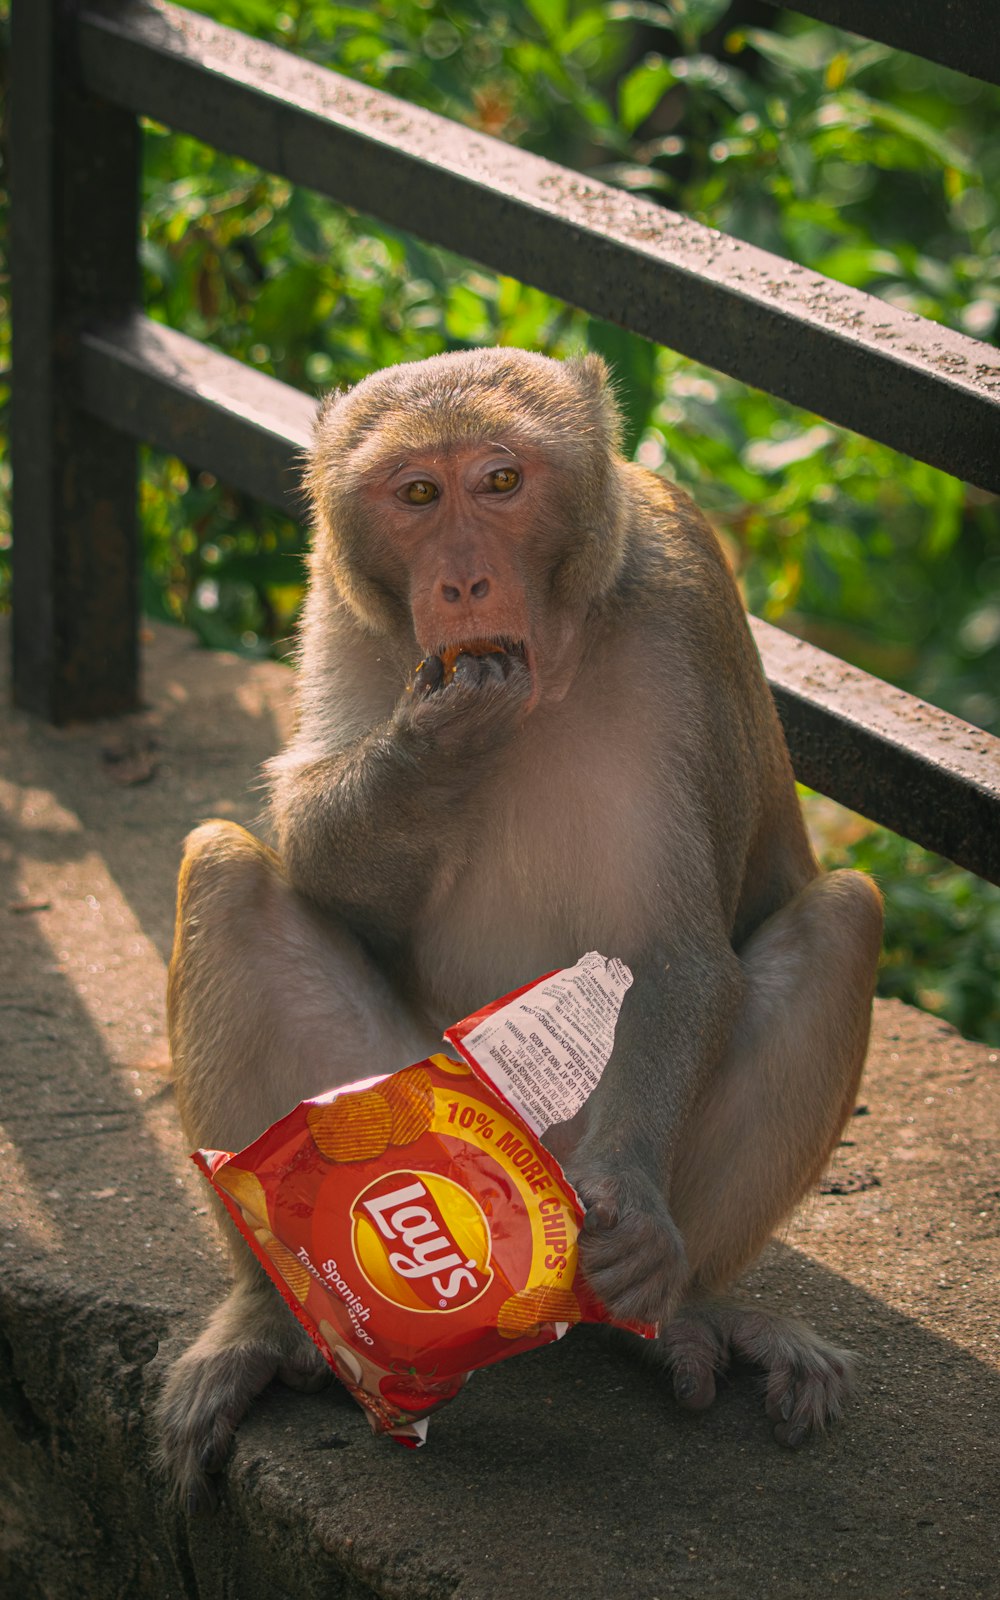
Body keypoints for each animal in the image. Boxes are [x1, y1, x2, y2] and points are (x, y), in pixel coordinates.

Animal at [157, 347, 883, 1510]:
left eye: (501, 481)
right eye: (416, 493)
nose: (461, 585)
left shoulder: (678, 605)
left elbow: (675, 951)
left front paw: (635, 1213)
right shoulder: (337, 597)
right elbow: (315, 860)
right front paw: (436, 741)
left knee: (845, 920)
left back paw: (680, 1309)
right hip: (382, 1100)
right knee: (225, 874)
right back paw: (269, 1320)